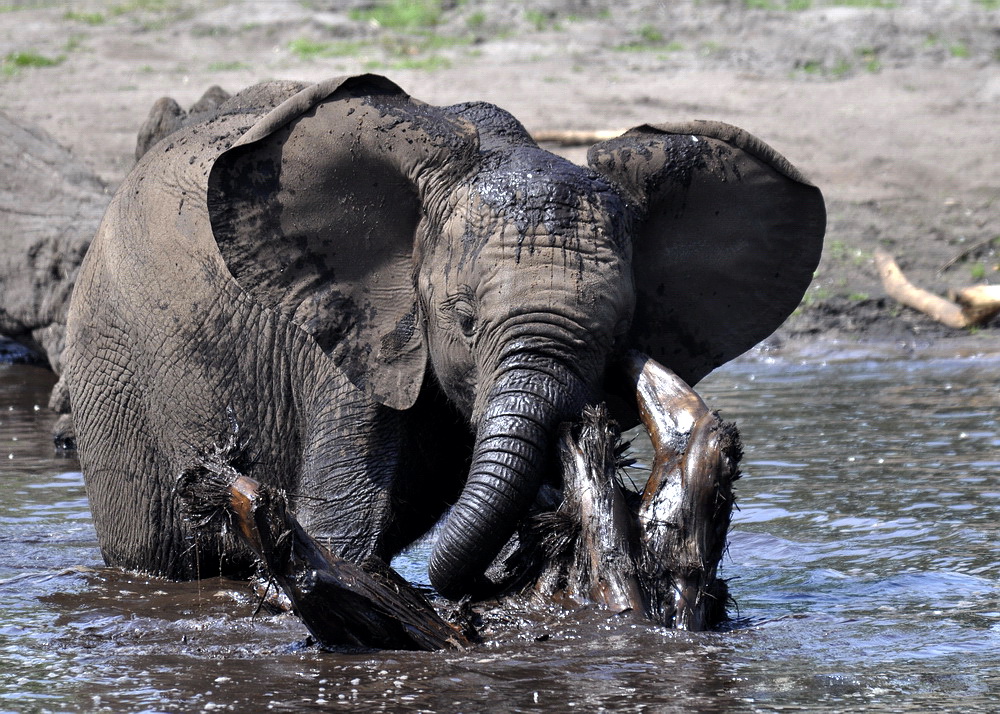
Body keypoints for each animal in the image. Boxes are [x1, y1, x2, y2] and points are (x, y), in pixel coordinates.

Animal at [64, 72, 828, 596]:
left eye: (618, 337)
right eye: (463, 321)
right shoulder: (354, 340)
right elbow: (336, 535)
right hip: (111, 368)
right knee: (154, 551)